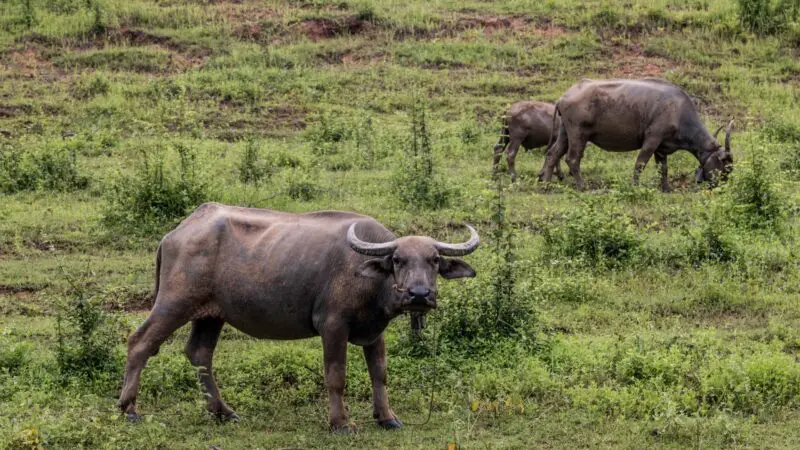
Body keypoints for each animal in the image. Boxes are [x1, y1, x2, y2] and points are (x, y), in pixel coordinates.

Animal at [117, 202, 482, 430]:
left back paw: (222, 411)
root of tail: (175, 234)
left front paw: (387, 417)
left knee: (199, 354)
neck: (368, 279)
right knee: (140, 342)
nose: (419, 295)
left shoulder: (375, 331)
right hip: (174, 302)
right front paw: (340, 423)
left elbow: (380, 374)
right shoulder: (332, 326)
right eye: (398, 260)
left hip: (211, 315)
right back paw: (128, 408)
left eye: (434, 260)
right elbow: (336, 376)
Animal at [540, 78, 736, 191]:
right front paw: (634, 186)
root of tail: (564, 96)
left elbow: (663, 169)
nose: (720, 188)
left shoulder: (662, 148)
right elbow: (640, 164)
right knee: (572, 159)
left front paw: (666, 189)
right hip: (578, 134)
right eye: (726, 168)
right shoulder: (652, 140)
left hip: (565, 133)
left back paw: (547, 185)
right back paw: (581, 186)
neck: (679, 110)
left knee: (553, 154)